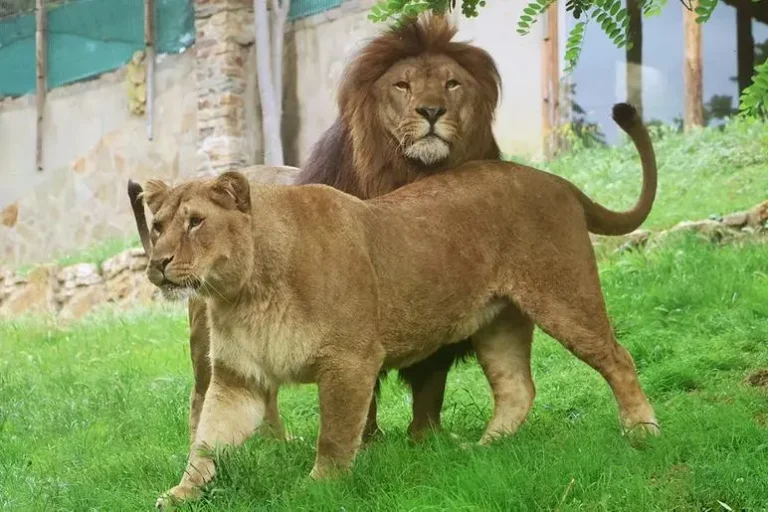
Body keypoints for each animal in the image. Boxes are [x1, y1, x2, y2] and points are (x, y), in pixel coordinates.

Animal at [129, 13, 505, 445]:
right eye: (402, 84)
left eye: (451, 83)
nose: (431, 111)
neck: (412, 177)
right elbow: (361, 394)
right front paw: (367, 444)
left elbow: (430, 385)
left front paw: (428, 442)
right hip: (208, 336)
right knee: (204, 394)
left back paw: (275, 445)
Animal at [144, 103, 659, 508]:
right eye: (157, 226)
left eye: (195, 222)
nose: (158, 262)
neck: (243, 293)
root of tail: (558, 181)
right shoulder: (239, 380)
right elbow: (206, 440)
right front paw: (180, 494)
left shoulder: (350, 361)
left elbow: (335, 434)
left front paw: (318, 488)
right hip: (498, 323)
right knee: (518, 388)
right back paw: (481, 450)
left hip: (564, 296)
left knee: (617, 357)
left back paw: (642, 431)